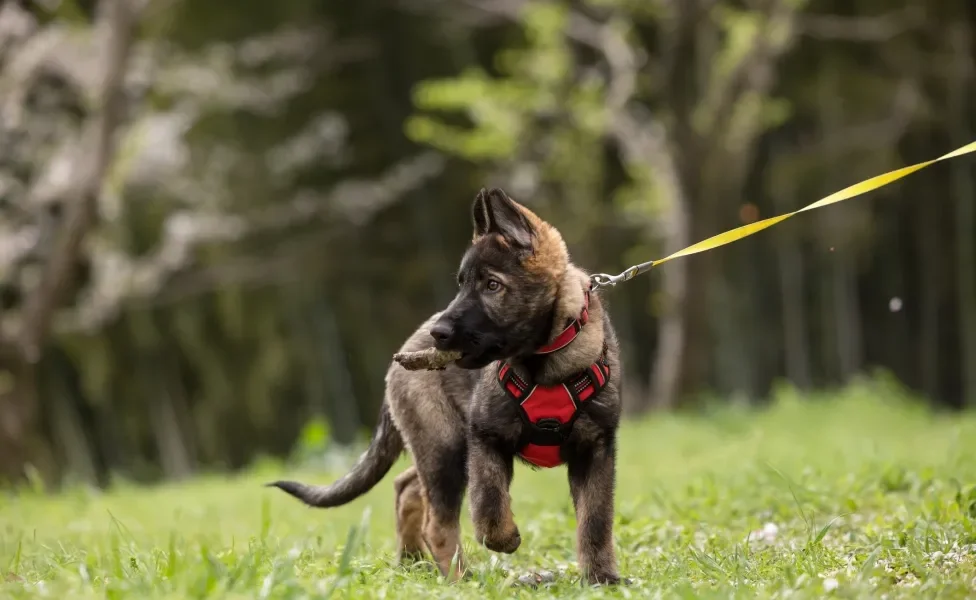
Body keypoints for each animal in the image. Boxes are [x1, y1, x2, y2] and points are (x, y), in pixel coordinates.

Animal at [268, 189, 616, 584]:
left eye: (492, 285)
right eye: (461, 284)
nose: (440, 333)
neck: (544, 364)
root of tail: (401, 353)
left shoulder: (596, 449)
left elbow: (595, 521)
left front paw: (602, 578)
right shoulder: (484, 438)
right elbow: (489, 505)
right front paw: (505, 539)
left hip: (438, 447)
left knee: (408, 487)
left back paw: (412, 561)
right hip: (445, 443)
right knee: (437, 520)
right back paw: (459, 579)